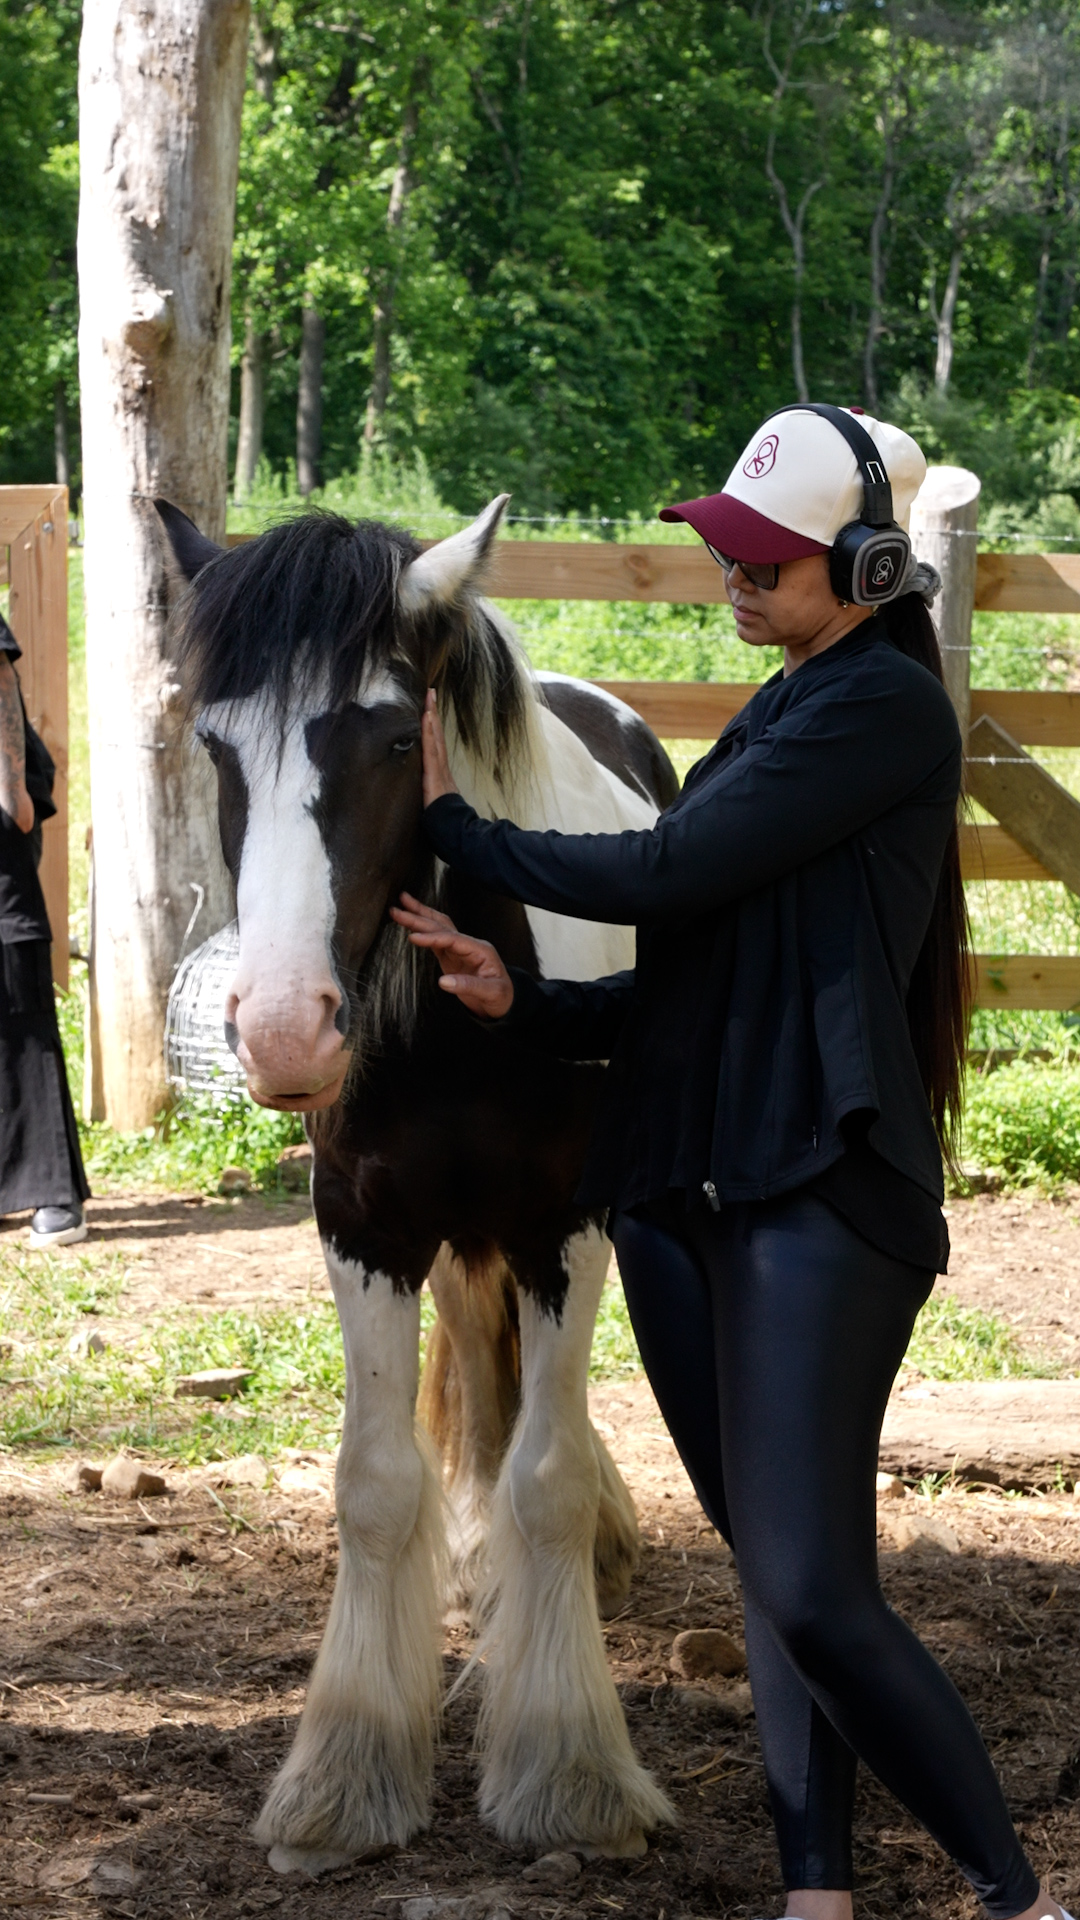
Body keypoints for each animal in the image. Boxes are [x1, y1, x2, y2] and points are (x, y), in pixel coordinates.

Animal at [155, 493, 679, 1875]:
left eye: (397, 737)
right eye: (215, 745)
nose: (286, 1032)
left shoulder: (567, 1226)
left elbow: (547, 1480)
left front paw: (569, 1774)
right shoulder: (367, 1229)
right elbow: (377, 1485)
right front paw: (345, 1777)